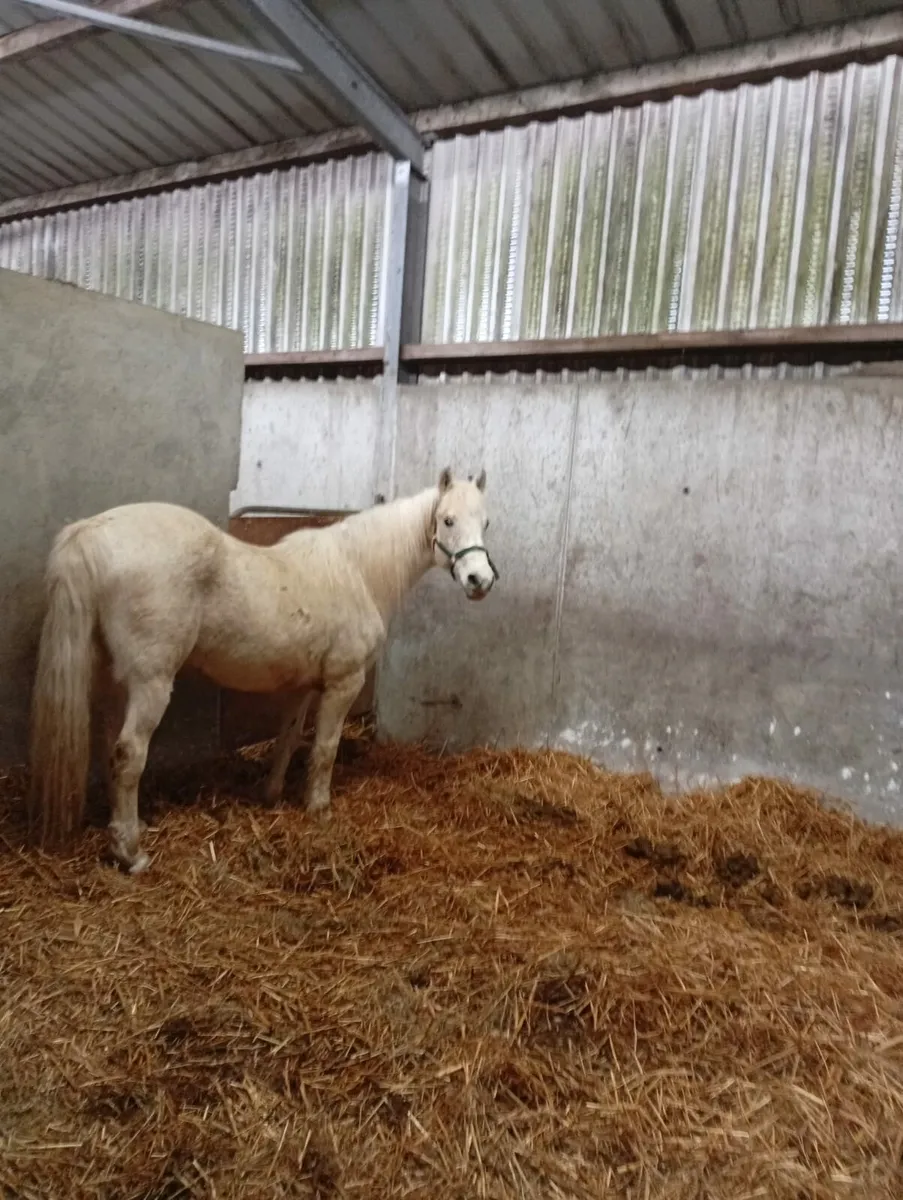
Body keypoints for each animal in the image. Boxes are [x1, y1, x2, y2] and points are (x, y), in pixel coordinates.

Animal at [28, 468, 497, 874]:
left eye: (487, 522)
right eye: (447, 520)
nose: (480, 580)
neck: (357, 571)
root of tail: (92, 531)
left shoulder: (304, 685)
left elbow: (288, 737)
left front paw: (271, 795)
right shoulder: (343, 683)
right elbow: (324, 748)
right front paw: (319, 809)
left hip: (113, 680)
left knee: (111, 747)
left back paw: (125, 828)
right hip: (150, 682)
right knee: (129, 755)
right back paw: (131, 853)